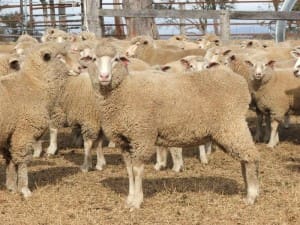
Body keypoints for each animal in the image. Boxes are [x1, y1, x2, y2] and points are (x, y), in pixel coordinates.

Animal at [0, 42, 71, 197]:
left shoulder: (10, 133)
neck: (35, 84)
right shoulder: (24, 132)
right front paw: (24, 189)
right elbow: (22, 161)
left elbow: (10, 160)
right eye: (60, 57)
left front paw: (11, 187)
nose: (81, 67)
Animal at [85, 43, 260, 209]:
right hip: (230, 128)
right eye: (93, 59)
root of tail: (239, 81)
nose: (104, 76)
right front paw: (130, 198)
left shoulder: (141, 136)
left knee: (250, 156)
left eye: (116, 59)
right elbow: (129, 170)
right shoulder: (124, 140)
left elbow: (137, 170)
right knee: (244, 158)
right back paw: (248, 189)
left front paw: (137, 201)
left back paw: (251, 195)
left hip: (232, 125)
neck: (124, 89)